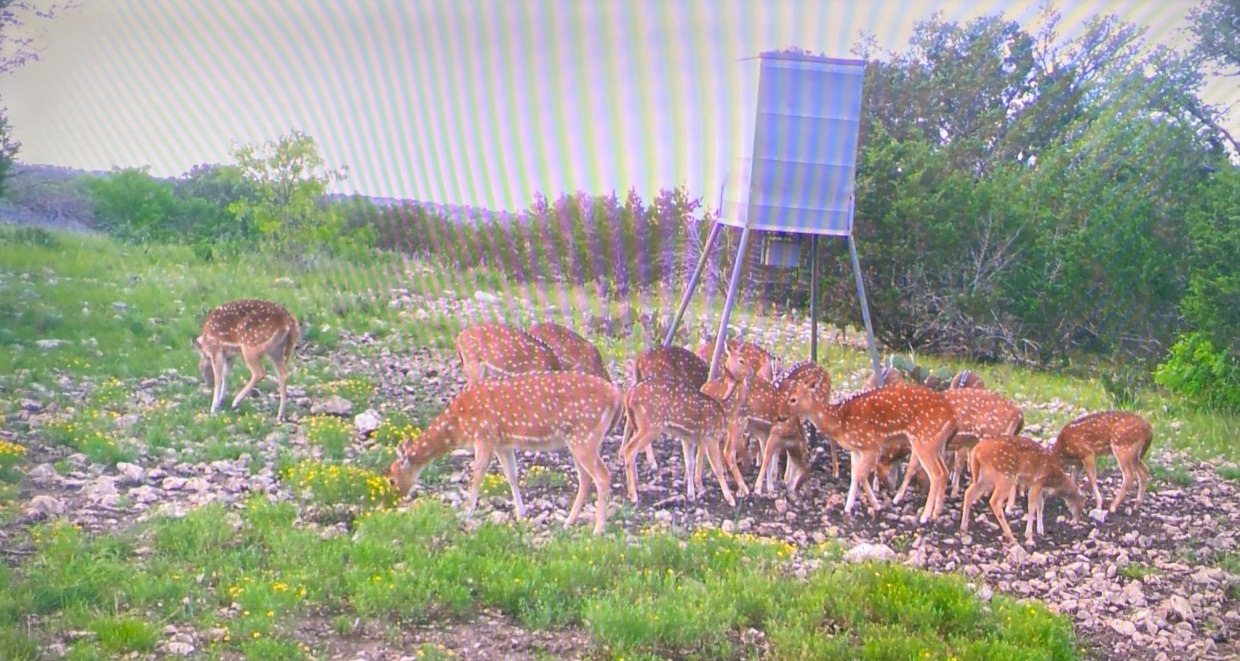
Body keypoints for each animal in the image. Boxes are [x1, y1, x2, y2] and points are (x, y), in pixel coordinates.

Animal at [384, 372, 620, 535]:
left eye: (391, 480)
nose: (392, 503)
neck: (458, 427)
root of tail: (615, 395)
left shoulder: (483, 436)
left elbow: (477, 474)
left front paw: (466, 513)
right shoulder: (502, 445)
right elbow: (512, 476)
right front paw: (521, 514)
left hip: (584, 435)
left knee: (602, 475)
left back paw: (598, 529)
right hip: (578, 439)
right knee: (585, 478)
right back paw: (569, 521)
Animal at [783, 381, 957, 520]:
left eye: (793, 399)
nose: (780, 416)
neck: (840, 422)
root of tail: (952, 418)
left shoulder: (872, 445)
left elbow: (861, 475)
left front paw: (871, 505)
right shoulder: (855, 449)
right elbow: (855, 475)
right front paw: (852, 507)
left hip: (924, 441)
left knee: (936, 473)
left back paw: (925, 516)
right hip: (936, 444)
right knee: (944, 471)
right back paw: (936, 513)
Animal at [957, 436, 1086, 543]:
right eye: (1081, 503)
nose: (1078, 519)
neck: (1052, 478)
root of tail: (976, 450)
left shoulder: (1037, 485)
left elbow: (1040, 505)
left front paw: (1041, 531)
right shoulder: (1038, 482)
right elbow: (1032, 506)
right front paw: (1029, 534)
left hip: (983, 476)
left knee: (969, 493)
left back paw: (963, 528)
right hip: (1005, 476)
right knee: (994, 501)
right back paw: (1010, 535)